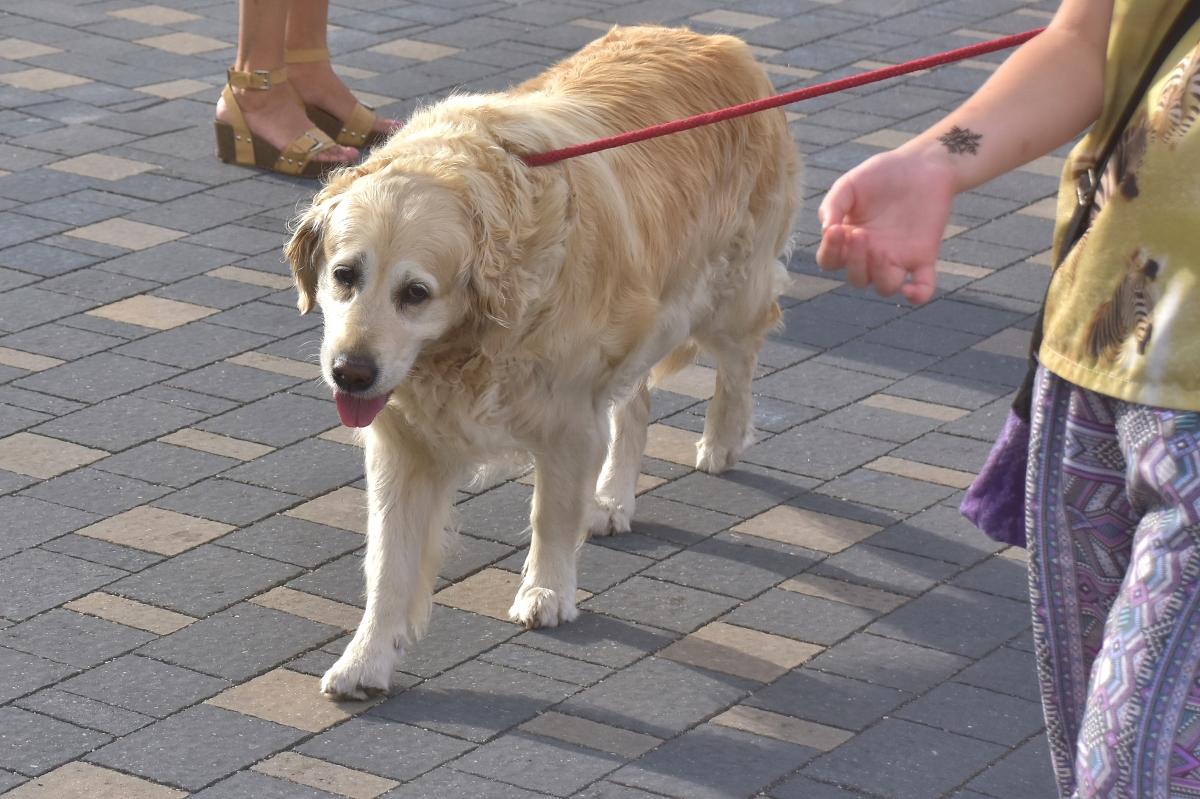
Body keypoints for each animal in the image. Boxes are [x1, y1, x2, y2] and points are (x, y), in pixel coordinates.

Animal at [286, 25, 800, 700]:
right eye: (344, 275)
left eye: (415, 293)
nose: (351, 373)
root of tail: (719, 39)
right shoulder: (403, 441)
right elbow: (388, 563)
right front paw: (365, 658)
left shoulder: (569, 417)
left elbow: (550, 515)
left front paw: (547, 591)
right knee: (636, 406)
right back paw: (611, 499)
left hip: (728, 292)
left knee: (739, 363)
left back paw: (721, 441)